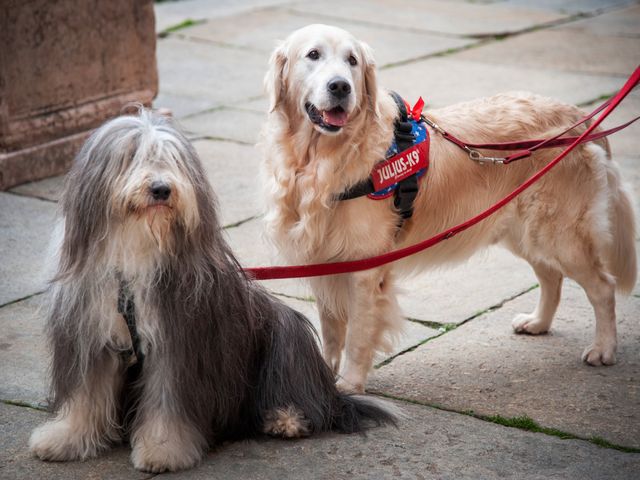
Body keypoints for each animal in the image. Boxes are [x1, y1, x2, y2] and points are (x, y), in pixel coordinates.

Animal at [31, 109, 400, 472]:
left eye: (173, 160)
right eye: (131, 156)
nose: (161, 189)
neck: (136, 252)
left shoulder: (178, 345)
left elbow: (168, 403)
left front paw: (162, 451)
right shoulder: (89, 338)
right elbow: (85, 395)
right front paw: (64, 438)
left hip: (285, 336)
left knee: (306, 398)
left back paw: (286, 420)